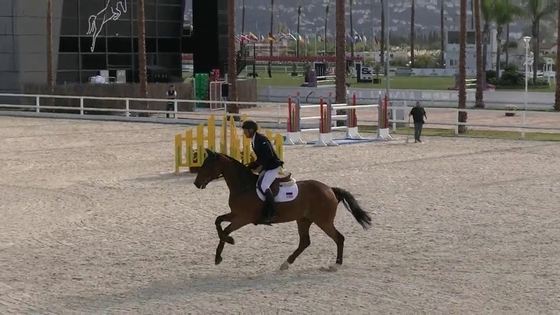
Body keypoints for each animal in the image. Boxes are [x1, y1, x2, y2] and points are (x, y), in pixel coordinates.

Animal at [192, 149, 372, 270]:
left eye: (207, 165)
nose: (196, 183)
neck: (244, 186)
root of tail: (330, 189)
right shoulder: (235, 214)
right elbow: (218, 221)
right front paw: (218, 256)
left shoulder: (243, 218)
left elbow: (225, 230)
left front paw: (228, 243)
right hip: (304, 220)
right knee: (305, 242)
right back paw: (286, 263)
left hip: (323, 221)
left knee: (338, 238)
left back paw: (336, 265)